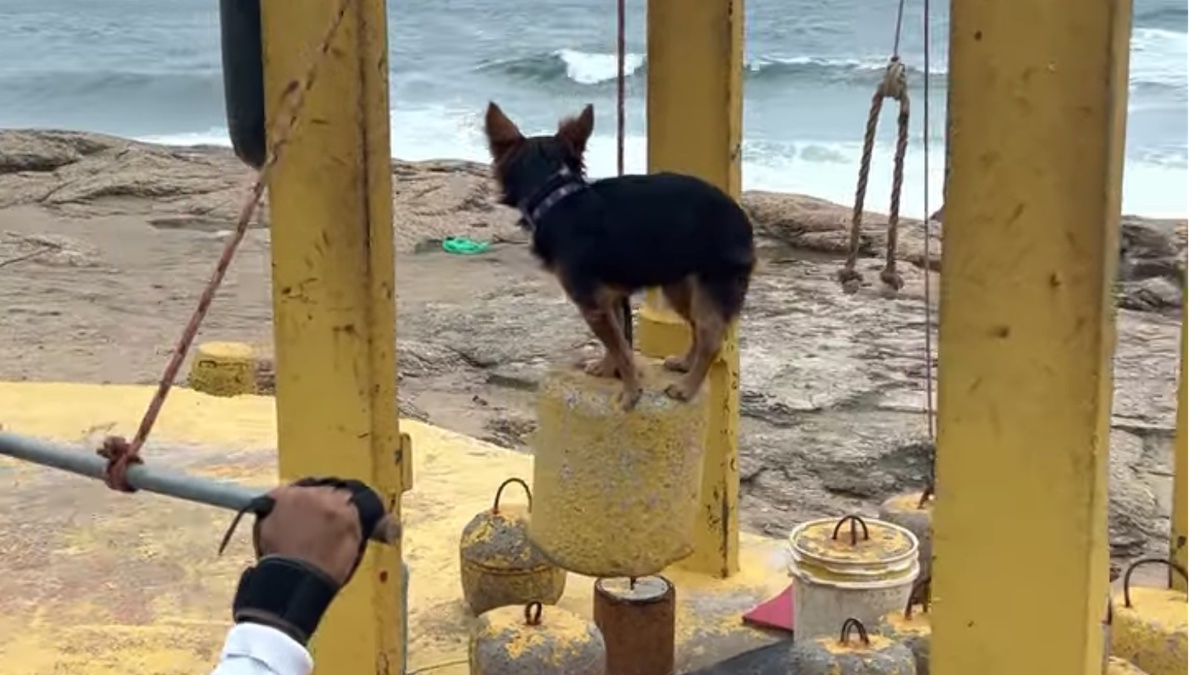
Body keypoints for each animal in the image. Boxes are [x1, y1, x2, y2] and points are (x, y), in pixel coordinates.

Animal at [482, 100, 753, 410]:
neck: (556, 193)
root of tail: (742, 219)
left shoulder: (592, 303)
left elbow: (622, 349)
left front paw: (631, 392)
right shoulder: (608, 298)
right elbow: (620, 339)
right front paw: (606, 369)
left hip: (711, 284)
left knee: (711, 337)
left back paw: (687, 388)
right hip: (679, 286)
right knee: (696, 325)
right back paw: (685, 364)